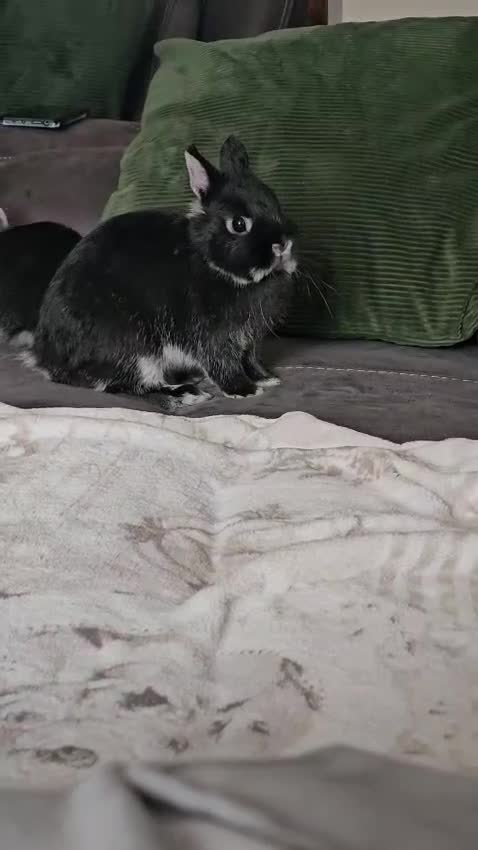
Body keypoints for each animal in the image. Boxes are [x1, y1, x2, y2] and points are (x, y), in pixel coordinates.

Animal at [31, 136, 298, 411]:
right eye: (238, 224)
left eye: (276, 205)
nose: (283, 244)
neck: (211, 262)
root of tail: (47, 360)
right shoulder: (210, 335)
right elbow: (223, 363)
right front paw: (244, 390)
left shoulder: (251, 339)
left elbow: (251, 359)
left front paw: (266, 378)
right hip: (135, 348)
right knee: (126, 386)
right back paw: (185, 394)